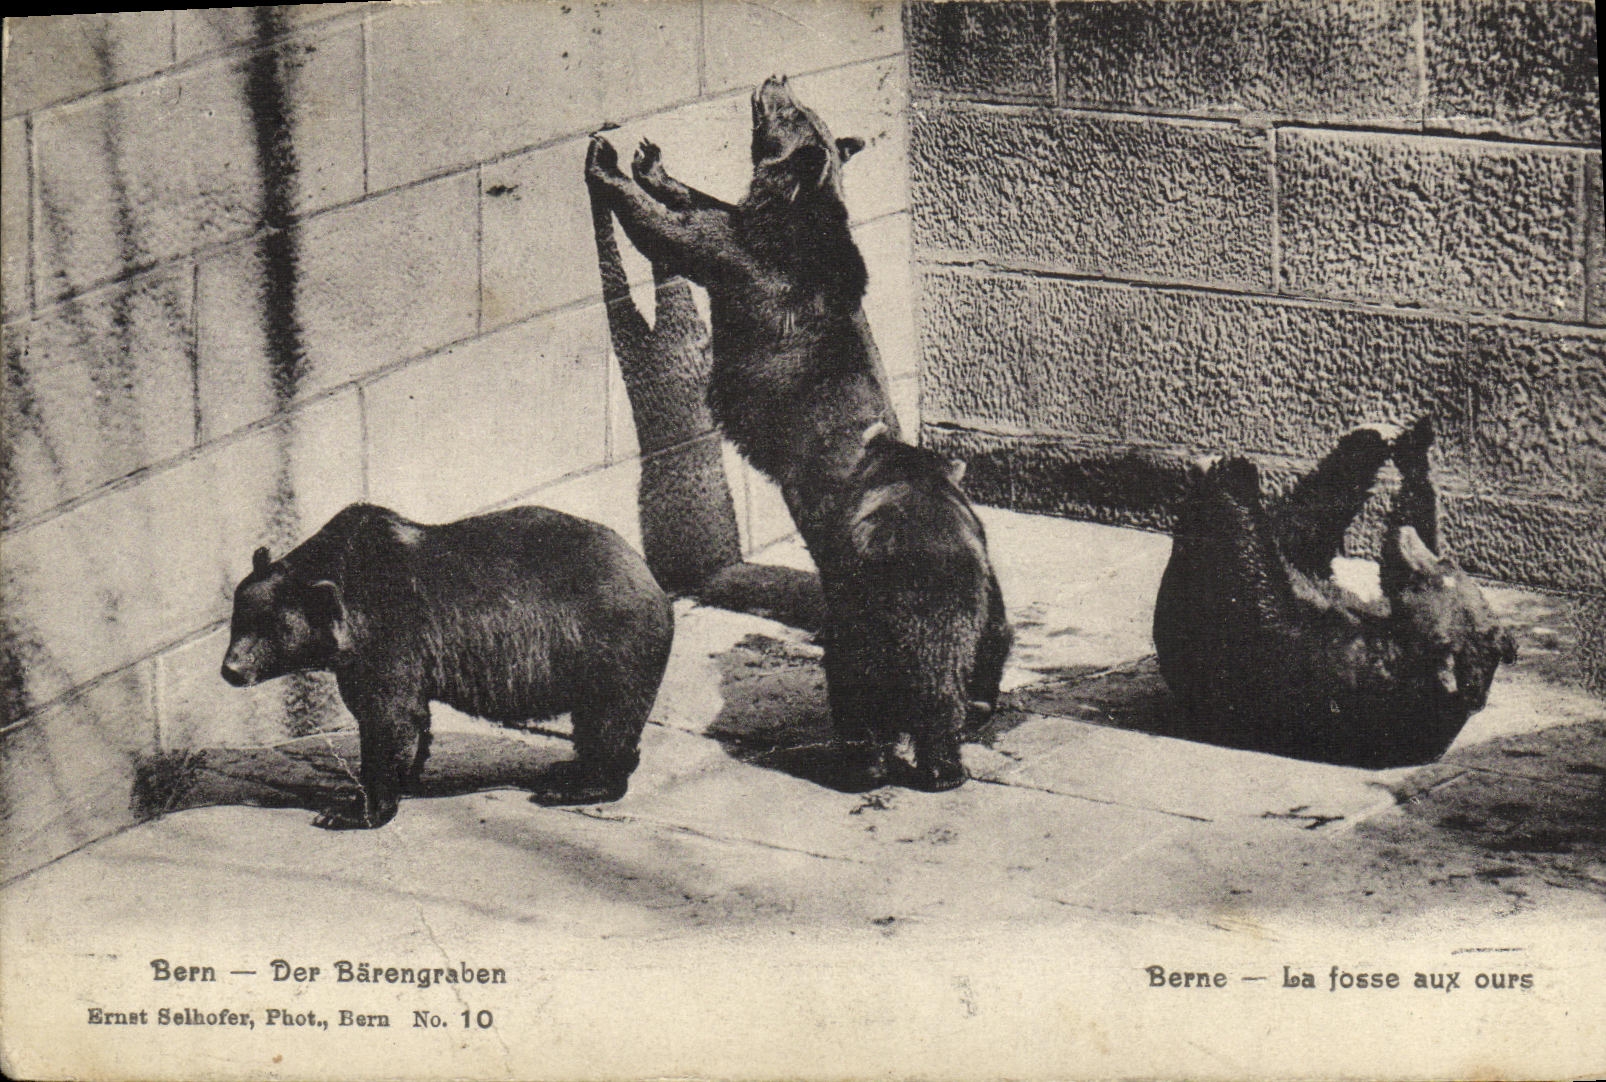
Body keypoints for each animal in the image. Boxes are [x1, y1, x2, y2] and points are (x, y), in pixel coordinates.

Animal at [221, 503, 675, 828]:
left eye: (271, 629)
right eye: (237, 618)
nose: (231, 669)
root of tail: (649, 575)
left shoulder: (387, 634)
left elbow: (387, 717)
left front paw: (351, 810)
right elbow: (412, 717)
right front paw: (407, 777)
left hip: (607, 644)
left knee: (607, 718)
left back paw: (577, 787)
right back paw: (566, 769)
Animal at [584, 75, 900, 529]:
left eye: (791, 112)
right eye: (802, 105)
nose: (777, 78)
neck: (790, 210)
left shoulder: (754, 263)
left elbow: (675, 234)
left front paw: (605, 159)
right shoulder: (747, 229)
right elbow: (704, 204)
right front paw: (651, 163)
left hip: (821, 476)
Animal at [806, 424, 1013, 791]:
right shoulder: (981, 566)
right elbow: (994, 631)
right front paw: (980, 705)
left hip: (859, 613)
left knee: (851, 681)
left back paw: (869, 767)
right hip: (922, 608)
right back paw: (941, 770)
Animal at [1152, 418, 1518, 768]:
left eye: (1427, 578)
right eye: (1446, 563)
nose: (1407, 538)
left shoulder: (1345, 675)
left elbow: (1257, 605)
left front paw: (1233, 476)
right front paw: (1413, 444)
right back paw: (1370, 437)